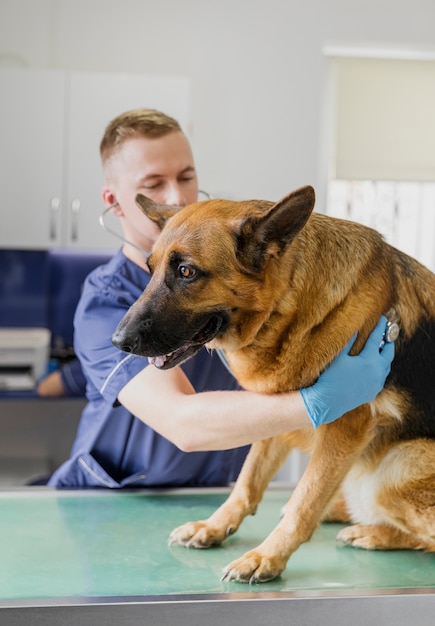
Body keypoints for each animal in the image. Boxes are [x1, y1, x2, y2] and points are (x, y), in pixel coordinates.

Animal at [113, 184, 435, 580]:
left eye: (186, 271)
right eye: (149, 269)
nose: (117, 341)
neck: (290, 307)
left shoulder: (346, 426)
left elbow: (304, 500)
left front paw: (267, 556)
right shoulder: (280, 407)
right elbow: (248, 481)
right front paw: (215, 526)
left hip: (398, 467)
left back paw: (371, 532)